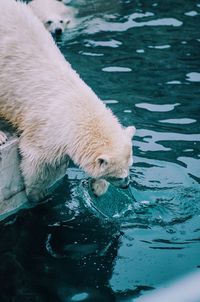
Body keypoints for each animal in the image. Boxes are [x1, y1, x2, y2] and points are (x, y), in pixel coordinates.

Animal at [0, 0, 136, 203]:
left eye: (130, 166)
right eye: (118, 176)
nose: (127, 184)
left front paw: (97, 188)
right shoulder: (47, 131)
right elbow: (35, 160)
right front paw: (37, 194)